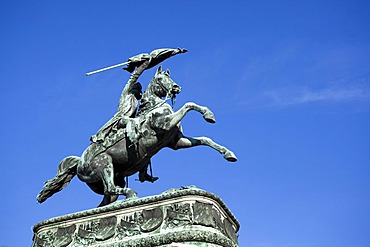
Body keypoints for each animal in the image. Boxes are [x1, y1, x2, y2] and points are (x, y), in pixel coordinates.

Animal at [37, 65, 237, 206]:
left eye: (170, 76)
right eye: (161, 78)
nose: (176, 87)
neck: (153, 107)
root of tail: (79, 162)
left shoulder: (177, 142)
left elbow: (204, 139)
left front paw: (228, 154)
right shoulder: (165, 124)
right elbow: (189, 104)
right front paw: (208, 114)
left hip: (108, 180)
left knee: (107, 198)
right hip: (105, 166)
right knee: (112, 188)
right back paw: (132, 194)